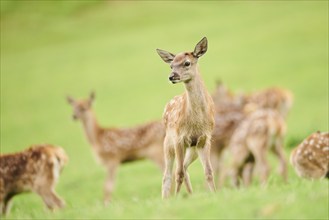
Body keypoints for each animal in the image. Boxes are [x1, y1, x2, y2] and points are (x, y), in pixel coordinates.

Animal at [156, 37, 215, 199]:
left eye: (187, 63)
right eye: (171, 65)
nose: (172, 76)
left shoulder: (205, 139)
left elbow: (209, 172)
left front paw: (215, 193)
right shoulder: (179, 138)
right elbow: (178, 174)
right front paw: (176, 199)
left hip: (192, 148)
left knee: (184, 167)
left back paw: (190, 194)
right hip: (168, 143)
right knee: (169, 174)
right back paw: (166, 199)